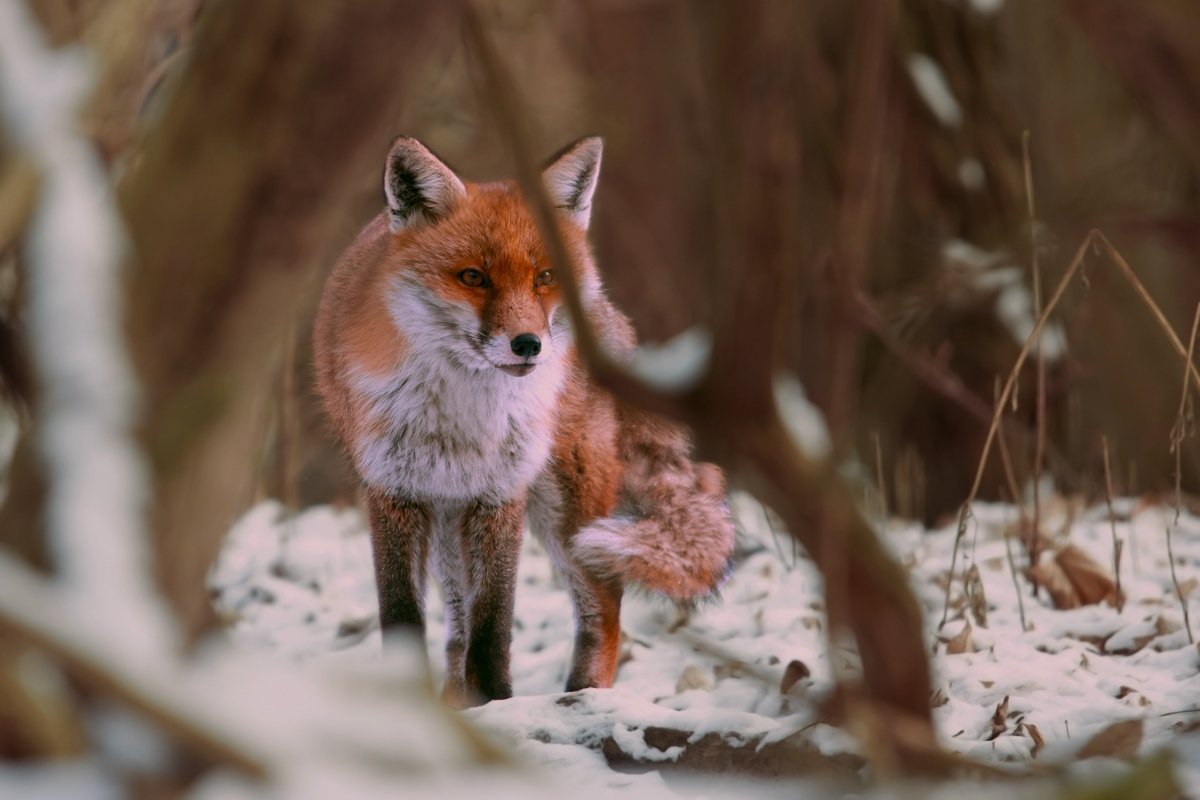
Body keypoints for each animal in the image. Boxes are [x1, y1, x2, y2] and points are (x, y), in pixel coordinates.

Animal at [312, 135, 734, 707]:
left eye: (544, 278)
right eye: (473, 277)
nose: (529, 344)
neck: (464, 415)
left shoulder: (501, 494)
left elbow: (494, 624)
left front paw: (497, 702)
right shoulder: (393, 491)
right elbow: (407, 617)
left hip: (569, 508)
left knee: (605, 604)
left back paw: (583, 694)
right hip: (451, 521)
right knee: (457, 627)